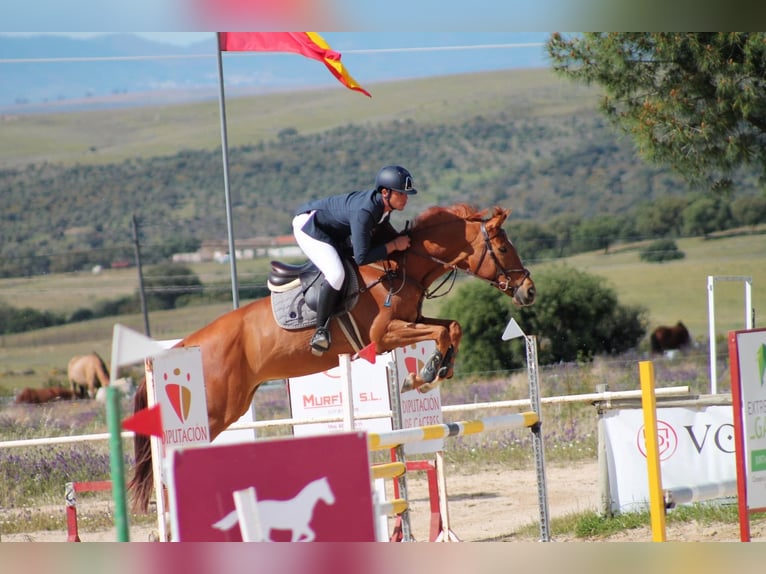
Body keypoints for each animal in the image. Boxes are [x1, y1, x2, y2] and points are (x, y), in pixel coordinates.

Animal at [129, 204, 536, 512]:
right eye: (503, 250)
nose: (529, 291)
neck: (400, 267)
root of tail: (177, 349)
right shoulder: (382, 336)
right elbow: (441, 332)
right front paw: (425, 373)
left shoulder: (411, 321)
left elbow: (451, 327)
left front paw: (434, 370)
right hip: (214, 411)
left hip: (232, 405)